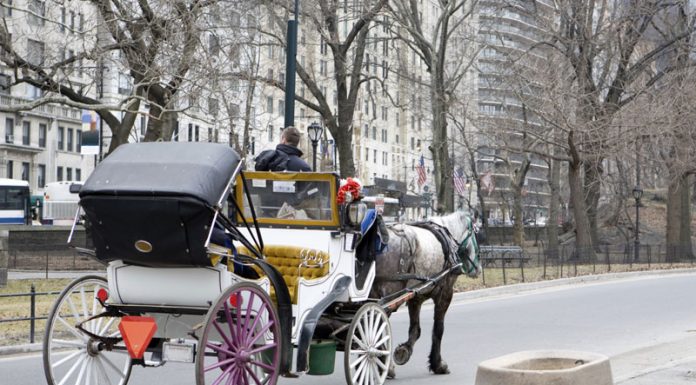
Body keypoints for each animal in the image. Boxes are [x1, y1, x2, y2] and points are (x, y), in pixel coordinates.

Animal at [372, 210, 482, 376]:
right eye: (476, 234)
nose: (478, 269)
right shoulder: (445, 293)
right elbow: (438, 329)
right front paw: (438, 364)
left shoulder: (416, 297)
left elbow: (415, 330)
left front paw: (404, 350)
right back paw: (385, 367)